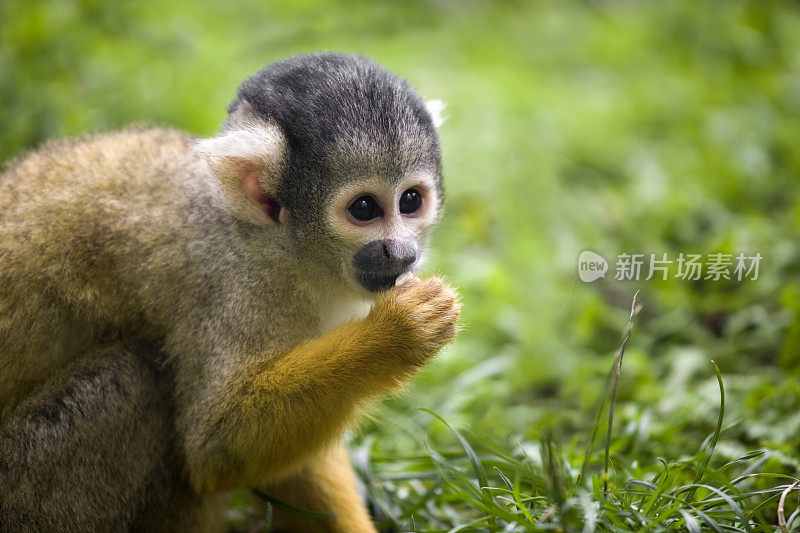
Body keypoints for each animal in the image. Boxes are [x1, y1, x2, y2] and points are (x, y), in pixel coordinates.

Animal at [0, 53, 460, 528]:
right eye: (365, 208)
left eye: (410, 201)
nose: (401, 252)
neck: (276, 243)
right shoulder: (233, 283)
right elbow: (215, 447)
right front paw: (400, 333)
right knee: (134, 375)